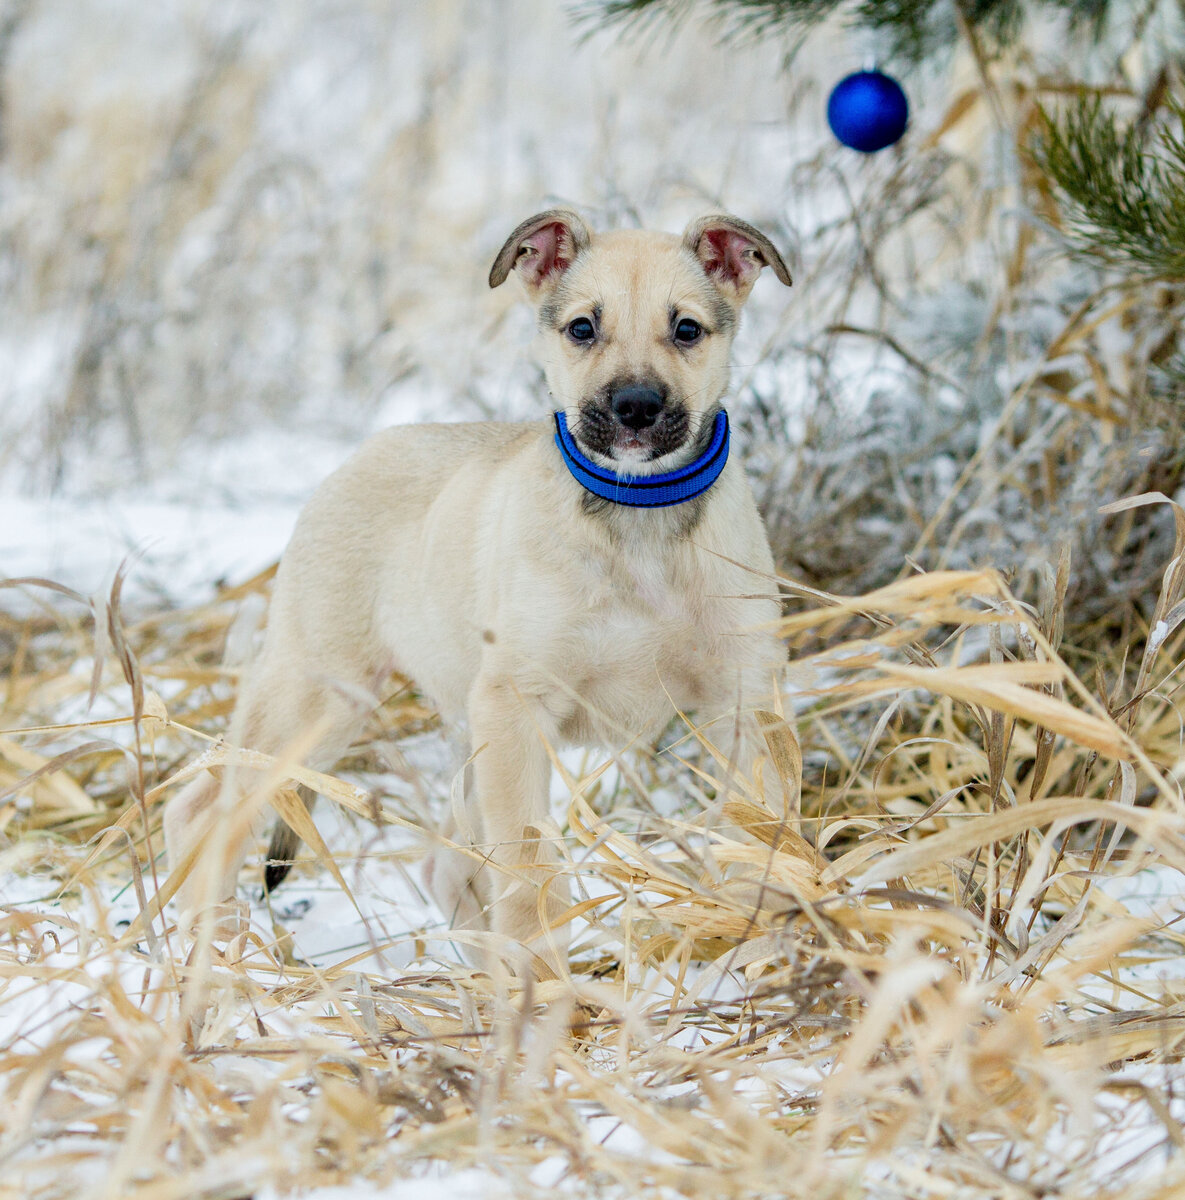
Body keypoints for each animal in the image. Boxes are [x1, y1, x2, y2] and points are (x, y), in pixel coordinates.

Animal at [161, 208, 791, 974]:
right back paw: (215, 952)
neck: (638, 512)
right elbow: (527, 864)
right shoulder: (517, 705)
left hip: (451, 723)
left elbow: (762, 834)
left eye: (688, 330)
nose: (635, 408)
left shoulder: (744, 700)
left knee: (444, 864)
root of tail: (354, 458)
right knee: (203, 810)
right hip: (317, 697)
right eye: (582, 328)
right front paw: (540, 982)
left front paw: (764, 942)